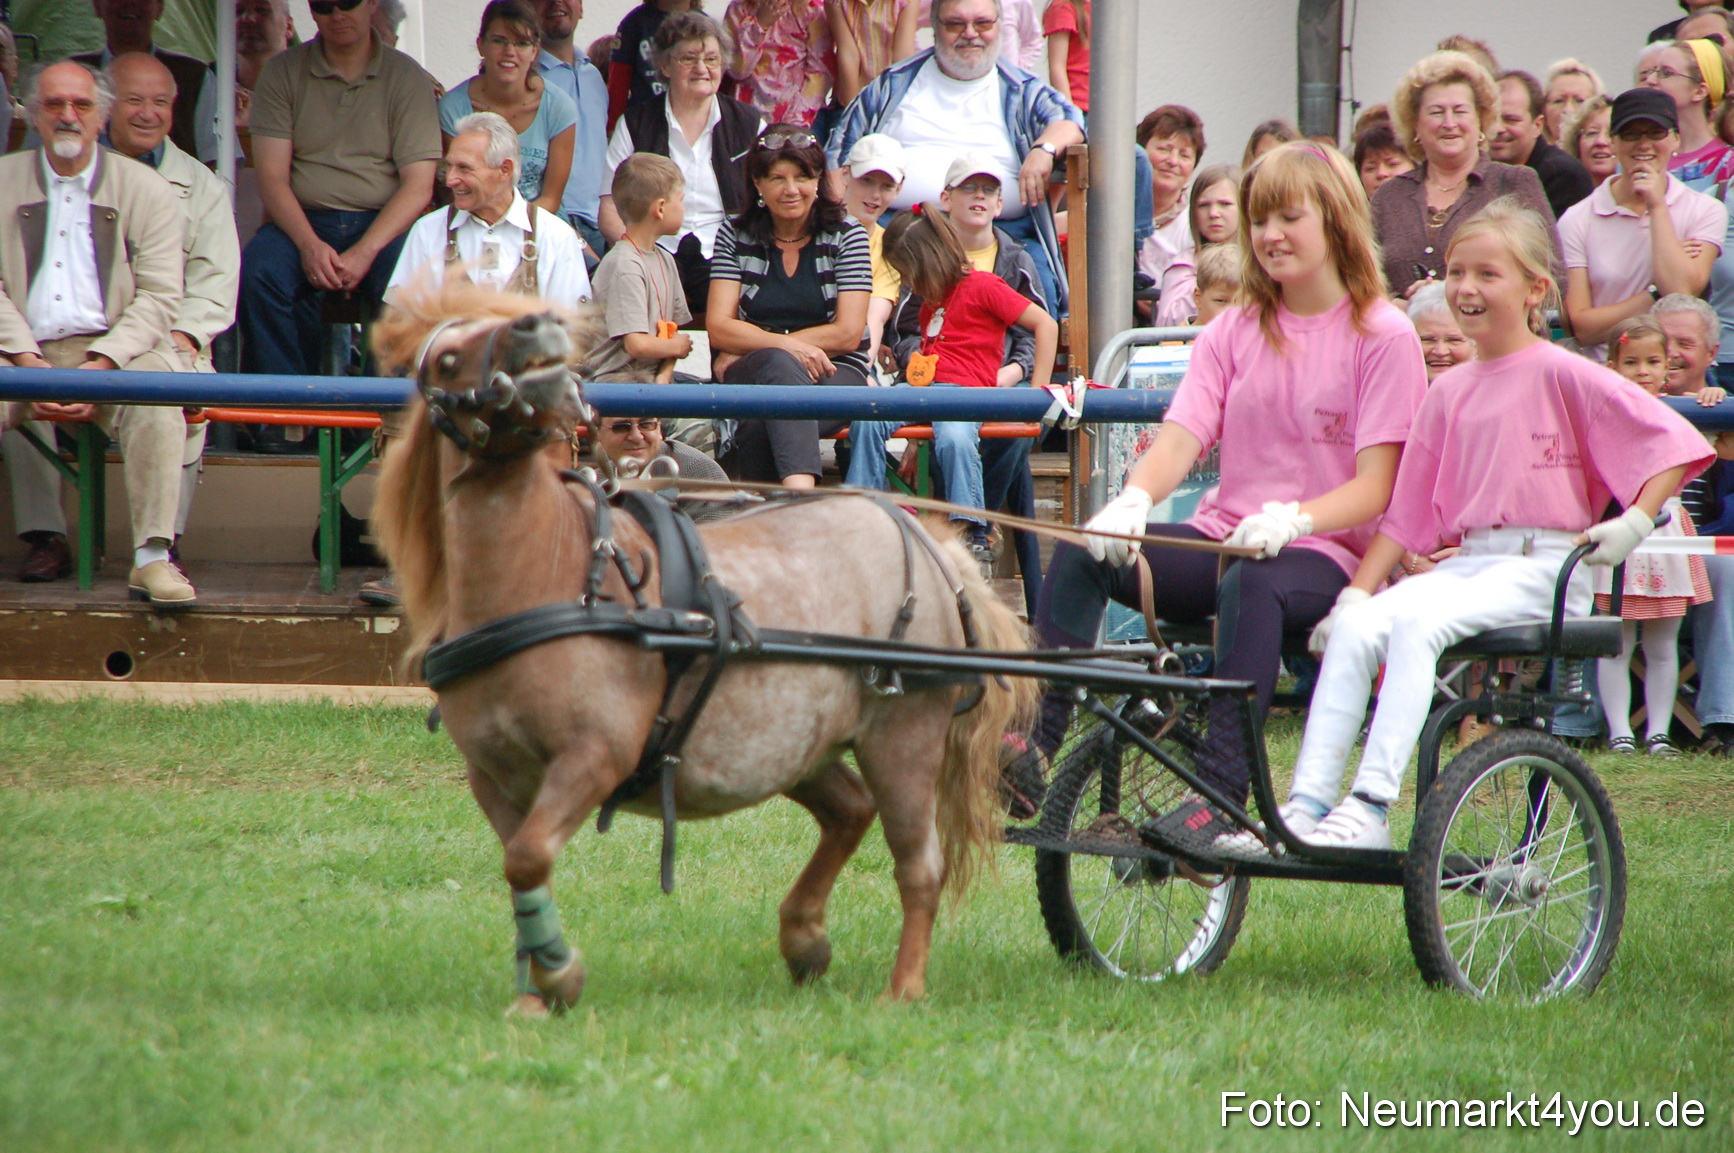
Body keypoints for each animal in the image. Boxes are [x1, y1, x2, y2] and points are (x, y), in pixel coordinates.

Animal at [369, 285, 1036, 1014]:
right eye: (447, 355)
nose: (536, 325)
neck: (548, 574)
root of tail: (927, 543)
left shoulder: (593, 754)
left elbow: (527, 857)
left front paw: (558, 972)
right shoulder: (493, 776)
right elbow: (521, 862)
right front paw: (535, 991)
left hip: (903, 735)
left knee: (919, 864)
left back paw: (903, 988)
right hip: (796, 744)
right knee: (849, 810)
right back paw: (804, 938)